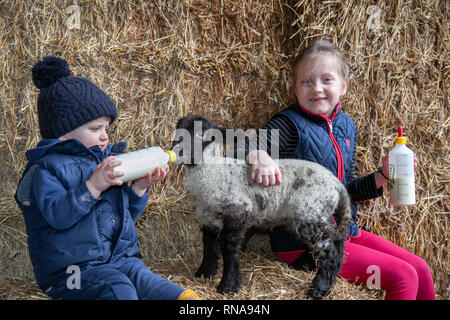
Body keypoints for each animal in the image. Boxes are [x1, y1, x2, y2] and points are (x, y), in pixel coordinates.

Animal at [172, 115, 352, 300]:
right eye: (178, 129)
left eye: (201, 133)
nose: (176, 150)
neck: (214, 171)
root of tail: (337, 186)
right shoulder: (210, 217)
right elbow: (208, 244)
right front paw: (205, 272)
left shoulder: (238, 211)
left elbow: (228, 248)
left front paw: (228, 286)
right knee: (337, 240)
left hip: (310, 211)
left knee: (331, 247)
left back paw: (319, 288)